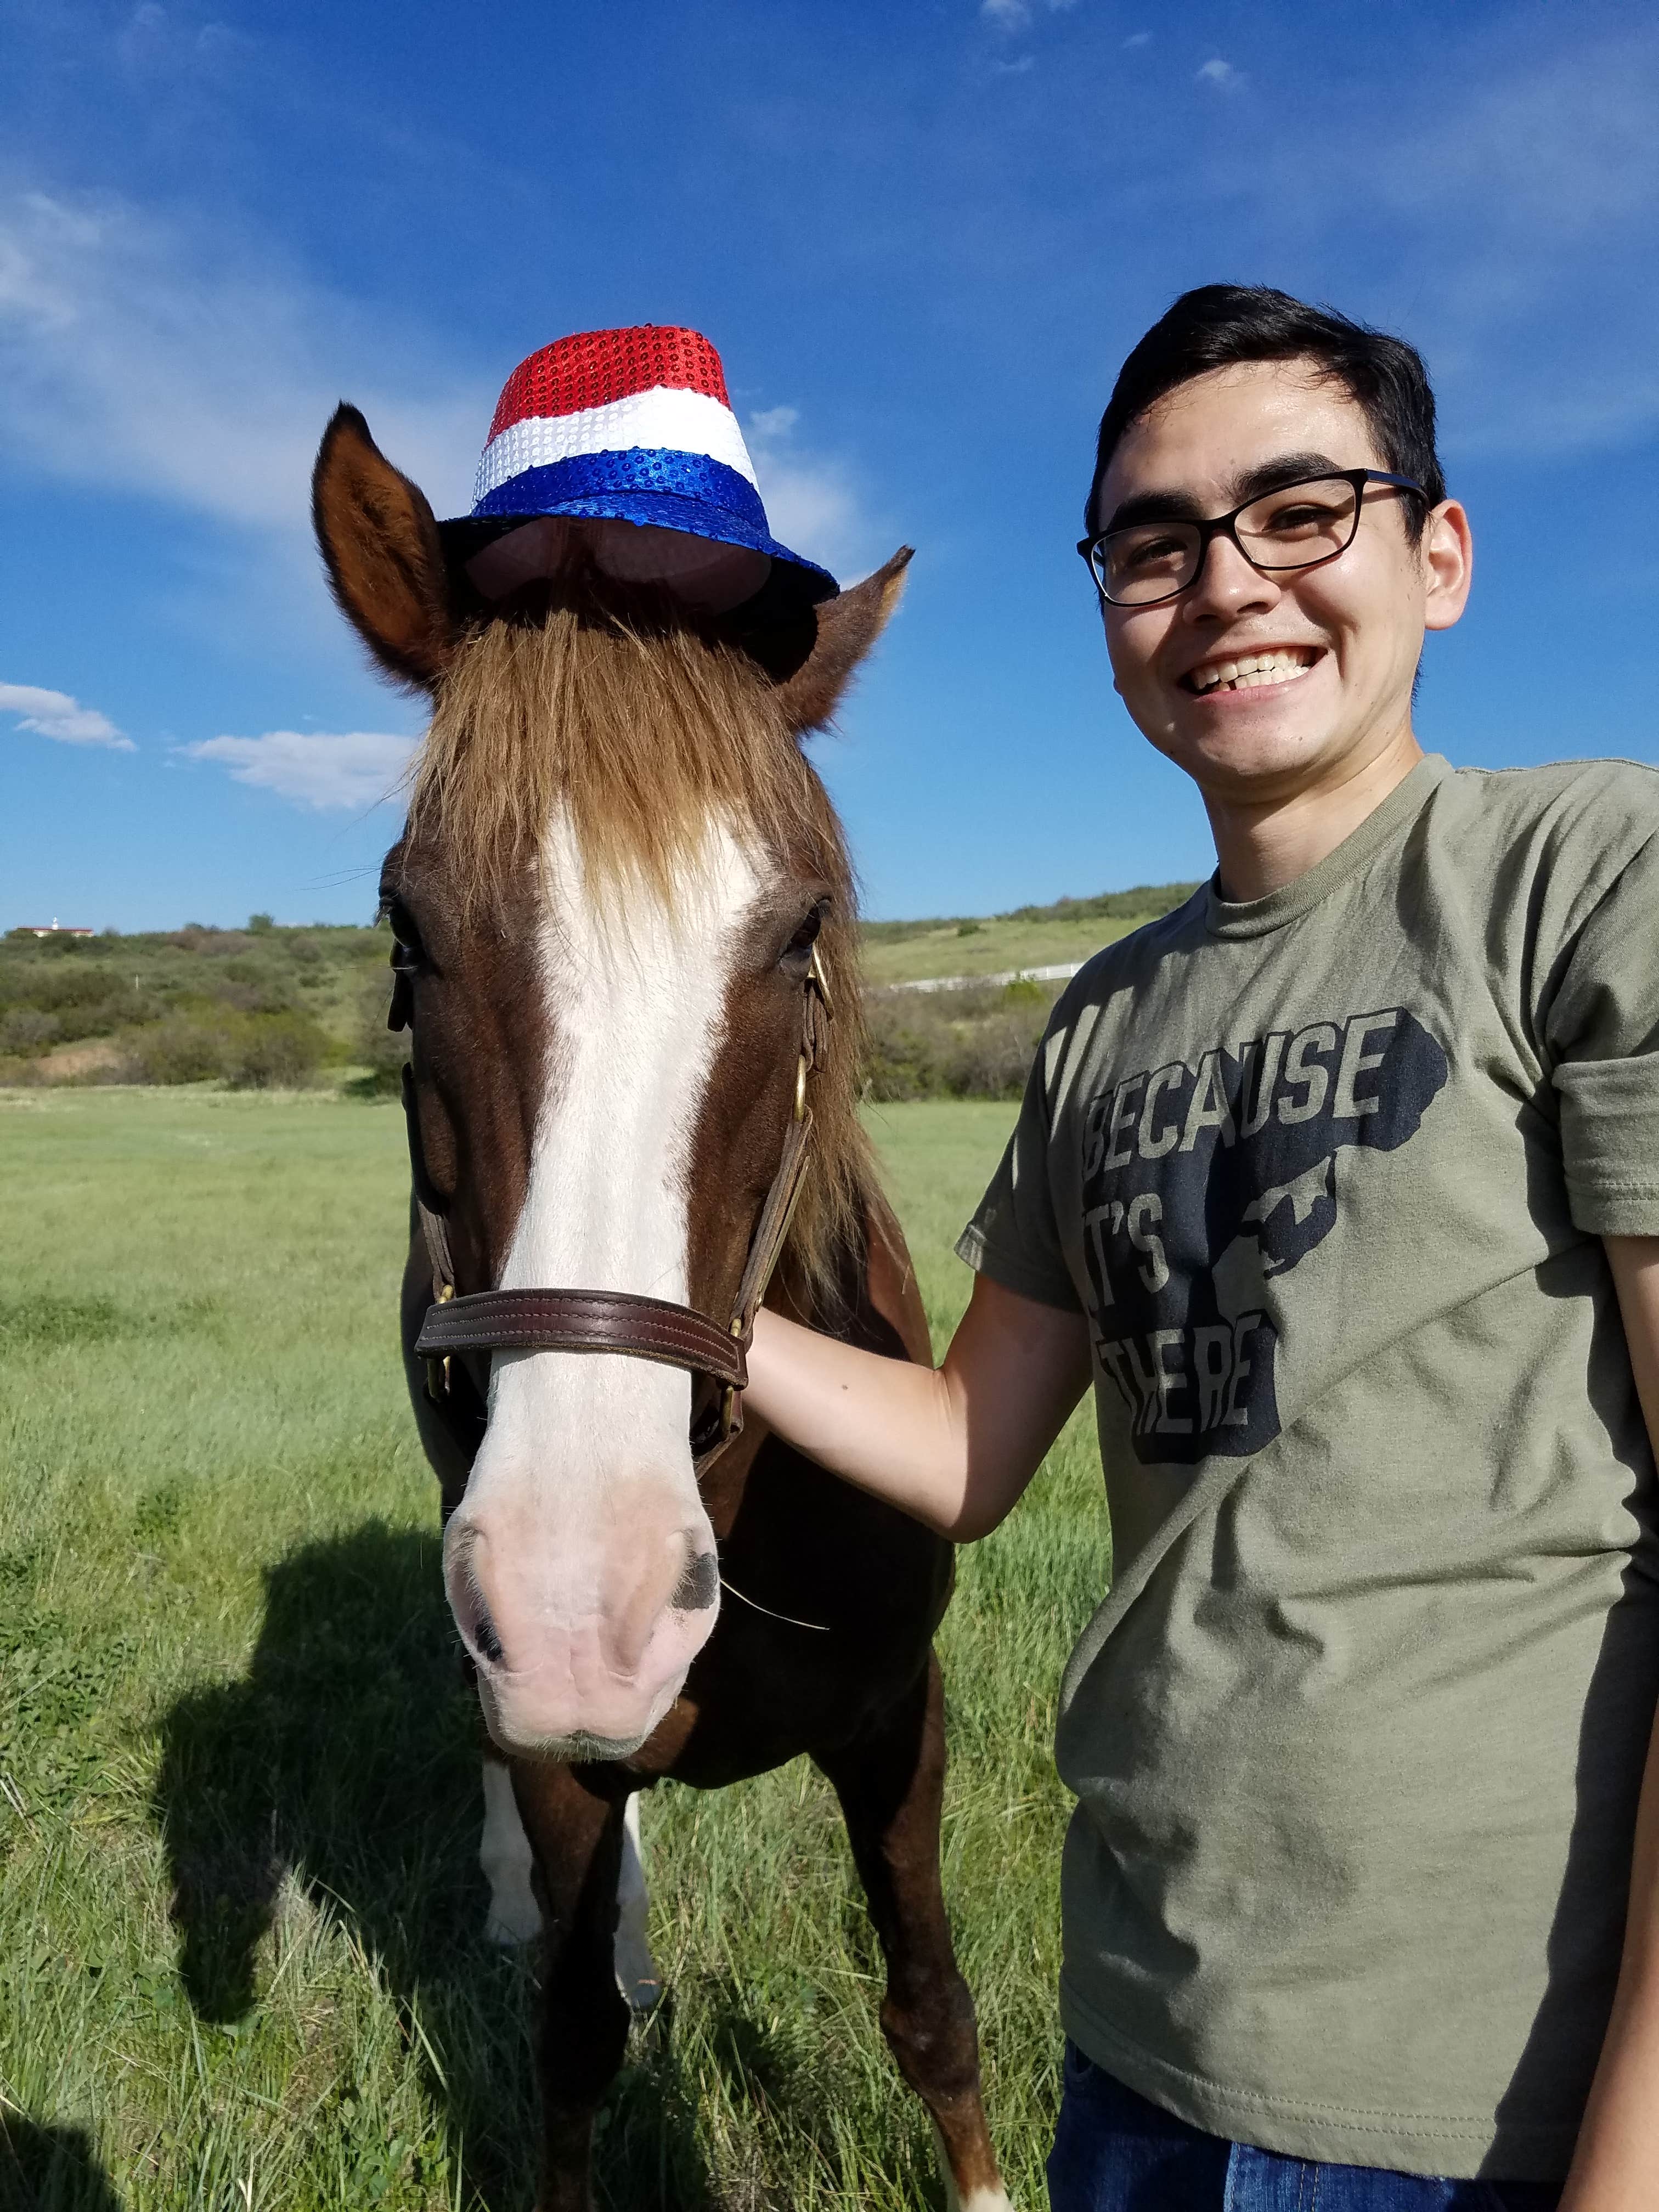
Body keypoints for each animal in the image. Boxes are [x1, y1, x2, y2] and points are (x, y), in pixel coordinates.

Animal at [311, 405, 1015, 2212]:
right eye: (407, 930)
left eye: (801, 933)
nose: (587, 1600)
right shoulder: (558, 1726)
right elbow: (568, 2045)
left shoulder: (899, 1723)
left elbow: (932, 2007)